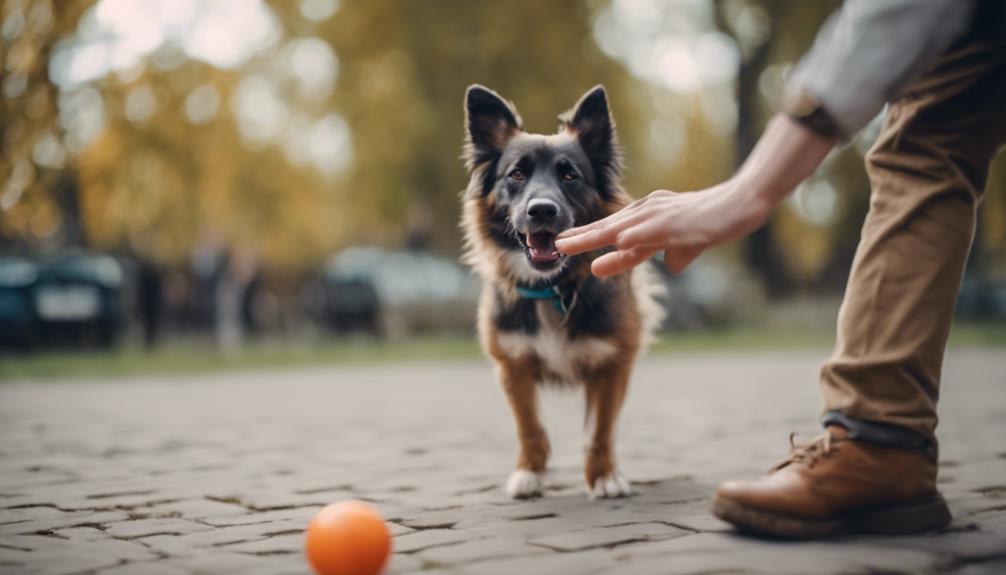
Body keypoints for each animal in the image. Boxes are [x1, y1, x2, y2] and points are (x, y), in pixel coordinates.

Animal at [460, 84, 663, 498]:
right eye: (516, 174)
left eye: (570, 175)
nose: (541, 210)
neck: (552, 289)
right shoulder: (513, 366)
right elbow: (530, 427)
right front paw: (529, 473)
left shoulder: (612, 365)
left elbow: (599, 431)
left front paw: (604, 476)